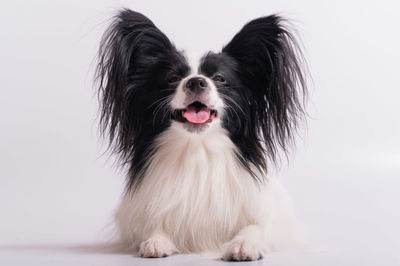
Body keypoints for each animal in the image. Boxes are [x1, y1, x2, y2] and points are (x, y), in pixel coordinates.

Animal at [96, 8, 306, 262]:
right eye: (173, 78)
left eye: (220, 78)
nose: (196, 81)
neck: (198, 148)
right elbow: (151, 225)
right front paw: (156, 240)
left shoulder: (270, 217)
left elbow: (255, 226)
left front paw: (244, 244)